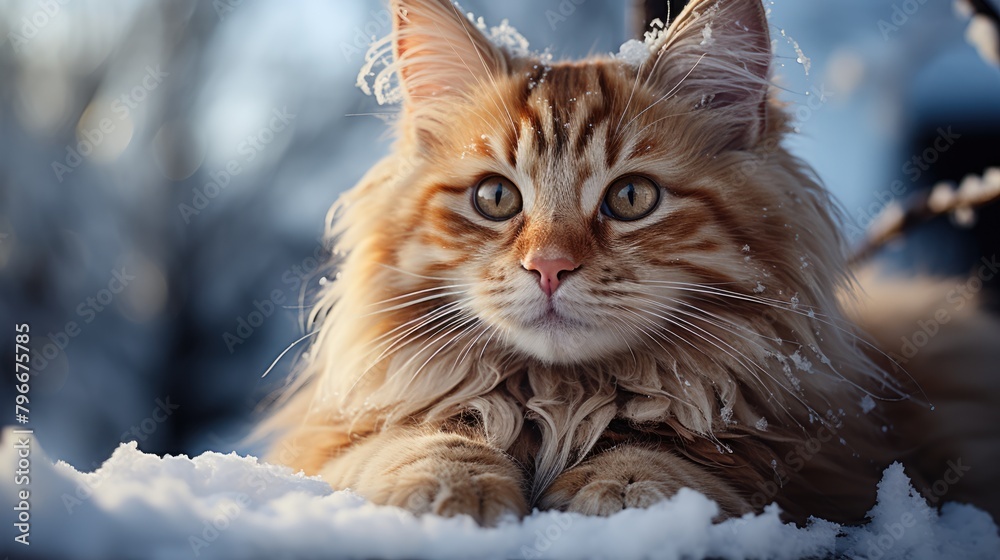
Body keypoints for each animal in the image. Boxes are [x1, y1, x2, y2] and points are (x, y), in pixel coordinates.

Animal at [262, 0, 1000, 528]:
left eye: (632, 198)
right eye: (496, 198)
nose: (549, 266)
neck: (564, 397)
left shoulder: (825, 460)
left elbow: (668, 448)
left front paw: (623, 484)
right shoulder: (327, 441)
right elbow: (420, 435)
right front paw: (452, 485)